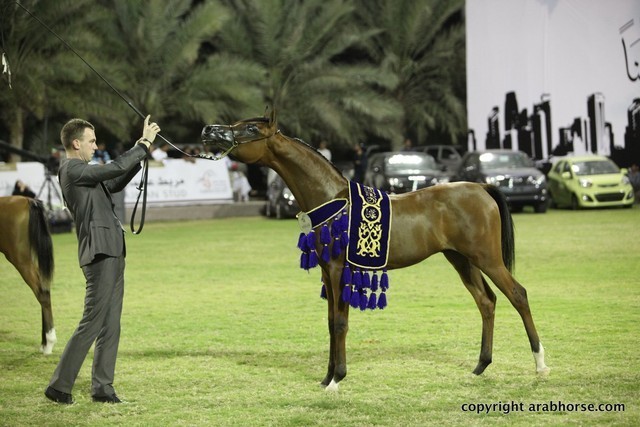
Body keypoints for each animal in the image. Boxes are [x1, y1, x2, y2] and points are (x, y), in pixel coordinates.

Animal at [0, 196, 57, 355]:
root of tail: (27, 200)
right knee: (43, 290)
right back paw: (44, 343)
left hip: (20, 259)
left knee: (42, 294)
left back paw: (49, 343)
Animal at [201, 109, 550, 391]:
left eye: (250, 129)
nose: (208, 130)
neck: (333, 199)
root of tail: (480, 187)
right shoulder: (328, 273)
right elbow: (331, 321)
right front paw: (327, 377)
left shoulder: (339, 270)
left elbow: (340, 323)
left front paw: (336, 380)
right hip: (462, 260)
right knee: (486, 302)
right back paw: (480, 367)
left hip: (487, 259)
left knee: (517, 294)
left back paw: (540, 365)